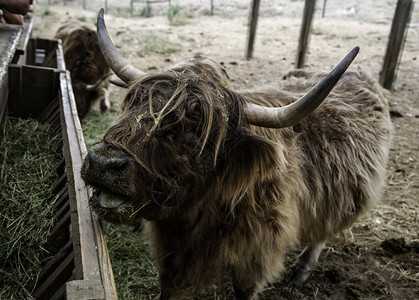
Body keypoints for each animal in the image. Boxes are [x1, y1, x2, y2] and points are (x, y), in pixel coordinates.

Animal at [81, 9, 394, 300]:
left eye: (194, 130)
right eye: (132, 105)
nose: (103, 163)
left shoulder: (255, 258)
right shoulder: (174, 257)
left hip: (347, 196)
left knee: (324, 231)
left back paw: (302, 269)